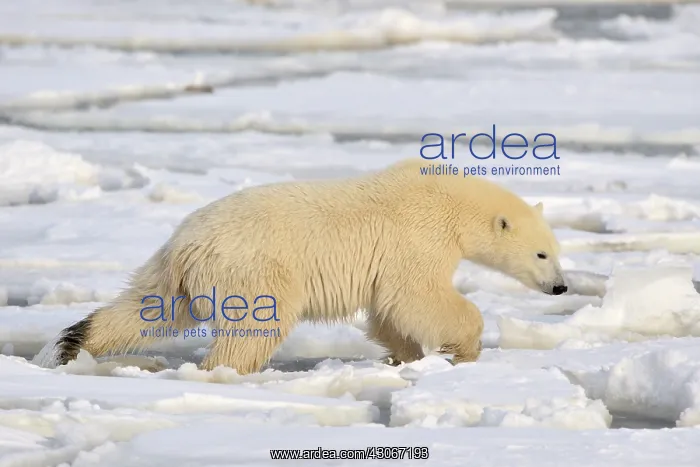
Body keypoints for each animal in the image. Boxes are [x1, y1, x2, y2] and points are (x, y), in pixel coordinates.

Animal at [41, 158, 566, 374]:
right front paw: (466, 348)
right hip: (253, 270)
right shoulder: (418, 236)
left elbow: (388, 311)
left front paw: (408, 356)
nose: (561, 287)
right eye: (542, 254)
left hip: (178, 274)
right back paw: (232, 372)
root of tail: (185, 244)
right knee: (257, 323)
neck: (451, 200)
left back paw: (72, 344)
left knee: (148, 307)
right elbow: (417, 296)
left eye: (558, 251)